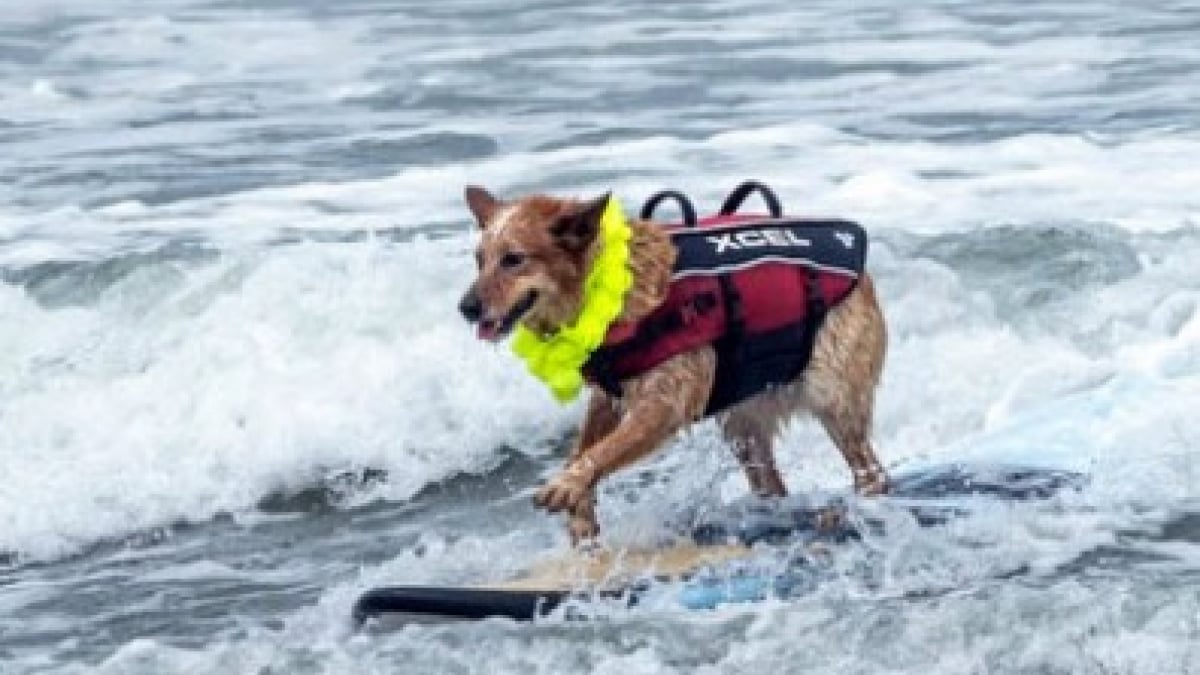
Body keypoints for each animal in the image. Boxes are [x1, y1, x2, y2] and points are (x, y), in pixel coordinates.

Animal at [453, 183, 888, 540]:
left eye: (514, 259)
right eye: (479, 259)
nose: (466, 308)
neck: (607, 290)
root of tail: (865, 277)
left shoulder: (665, 404)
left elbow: (604, 450)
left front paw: (568, 485)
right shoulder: (608, 396)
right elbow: (583, 447)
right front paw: (581, 509)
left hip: (833, 398)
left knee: (871, 472)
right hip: (742, 423)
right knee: (771, 483)